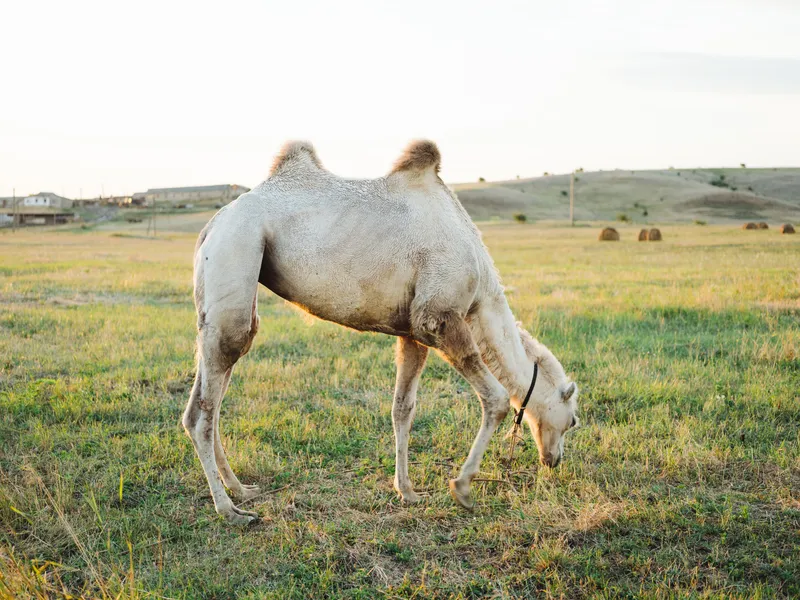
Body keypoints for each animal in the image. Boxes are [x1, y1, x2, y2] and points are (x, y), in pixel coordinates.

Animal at [183, 140, 581, 524]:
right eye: (573, 420)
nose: (554, 460)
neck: (481, 293)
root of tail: (212, 225)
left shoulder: (414, 332)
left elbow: (403, 408)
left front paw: (407, 491)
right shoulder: (439, 317)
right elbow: (496, 399)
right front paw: (463, 488)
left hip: (225, 292)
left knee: (207, 394)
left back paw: (240, 489)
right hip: (236, 248)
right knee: (205, 408)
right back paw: (229, 510)